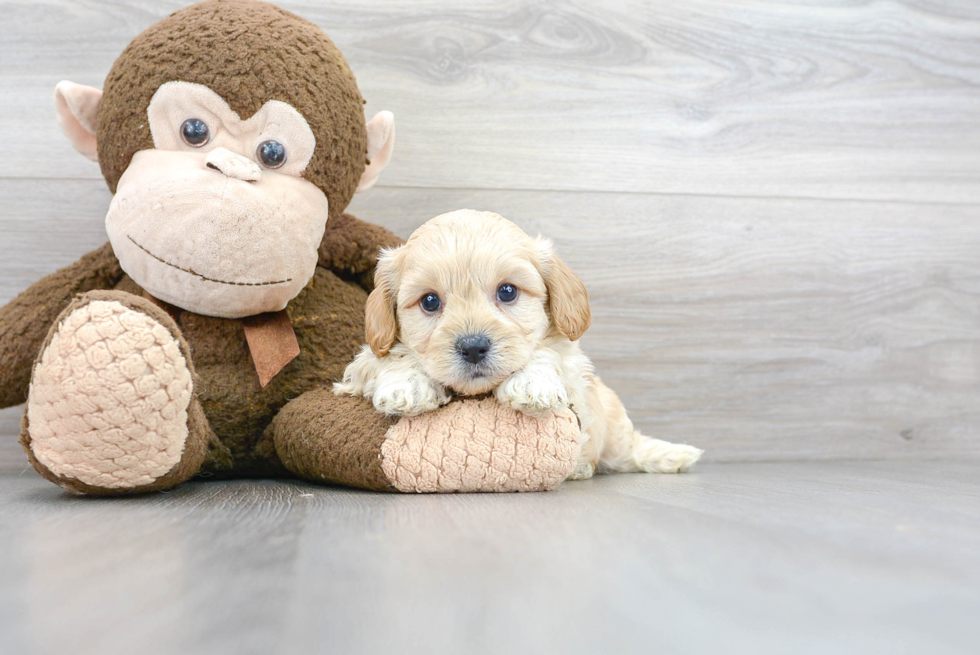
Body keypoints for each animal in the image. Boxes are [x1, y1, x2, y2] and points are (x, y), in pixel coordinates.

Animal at [336, 213, 704, 480]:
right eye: (429, 301)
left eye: (508, 291)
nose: (473, 347)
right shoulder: (361, 365)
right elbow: (386, 357)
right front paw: (408, 386)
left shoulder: (575, 374)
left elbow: (550, 350)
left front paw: (531, 383)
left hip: (613, 426)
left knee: (629, 449)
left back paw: (671, 455)